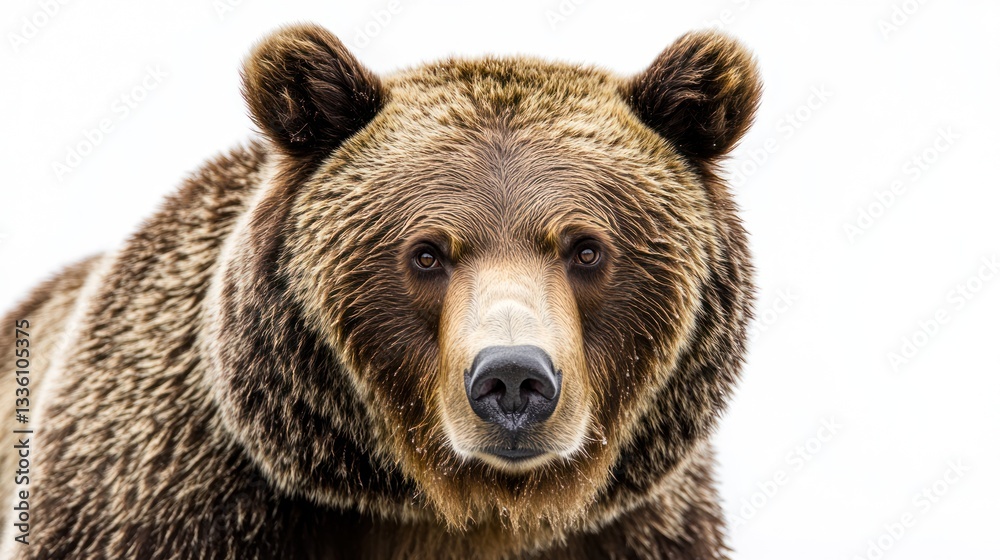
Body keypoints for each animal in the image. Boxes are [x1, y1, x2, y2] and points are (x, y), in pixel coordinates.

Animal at [0, 23, 761, 559]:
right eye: (426, 253)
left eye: (585, 248)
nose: (514, 379)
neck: (459, 511)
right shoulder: (165, 497)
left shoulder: (641, 529)